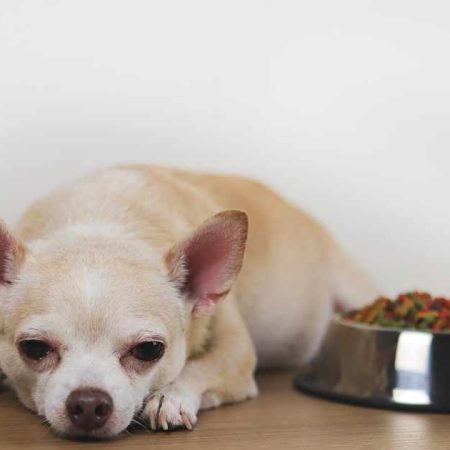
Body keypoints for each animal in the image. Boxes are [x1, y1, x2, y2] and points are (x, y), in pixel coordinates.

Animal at [0, 166, 376, 440]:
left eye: (149, 350)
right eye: (34, 348)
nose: (89, 402)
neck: (102, 223)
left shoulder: (236, 355)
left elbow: (200, 367)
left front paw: (171, 397)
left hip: (355, 287)